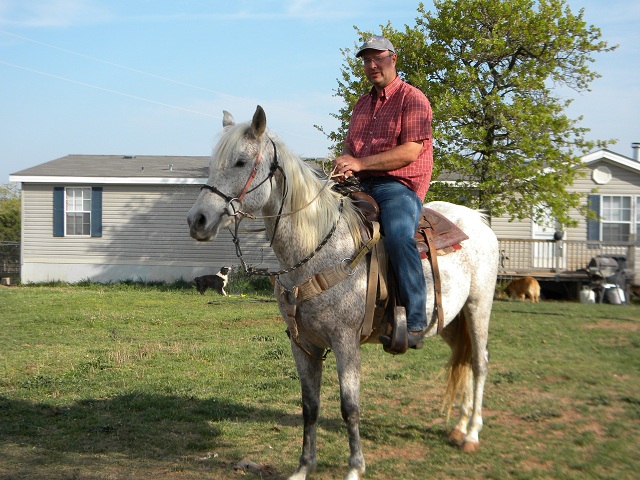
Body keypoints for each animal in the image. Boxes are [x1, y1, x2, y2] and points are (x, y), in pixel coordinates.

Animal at [188, 107, 498, 478]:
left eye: (240, 161)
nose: (197, 220)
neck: (319, 249)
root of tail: (477, 219)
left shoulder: (345, 341)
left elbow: (349, 406)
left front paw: (354, 468)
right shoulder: (302, 344)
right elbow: (310, 406)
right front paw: (304, 467)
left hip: (478, 307)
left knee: (479, 363)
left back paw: (473, 433)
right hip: (451, 320)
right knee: (463, 359)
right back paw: (460, 427)